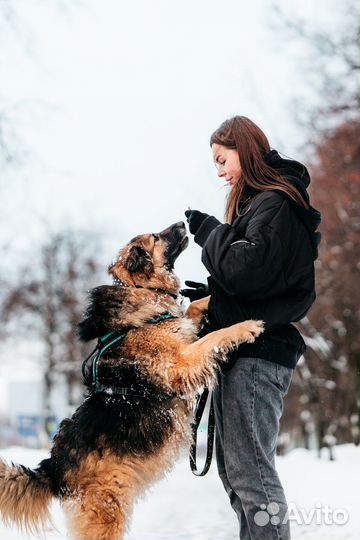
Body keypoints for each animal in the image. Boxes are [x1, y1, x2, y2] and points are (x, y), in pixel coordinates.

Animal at [0, 220, 264, 540]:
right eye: (156, 237)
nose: (183, 221)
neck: (142, 290)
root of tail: (53, 469)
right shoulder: (180, 363)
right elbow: (213, 338)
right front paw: (247, 325)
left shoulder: (183, 336)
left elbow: (194, 308)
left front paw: (212, 295)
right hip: (108, 511)